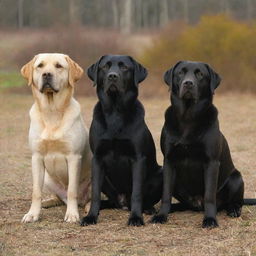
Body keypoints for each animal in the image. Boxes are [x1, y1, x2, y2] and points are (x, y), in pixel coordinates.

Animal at [81, 54, 162, 226]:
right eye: (105, 66)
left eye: (124, 67)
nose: (112, 76)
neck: (115, 112)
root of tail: (123, 203)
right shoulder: (97, 158)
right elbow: (95, 193)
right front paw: (91, 216)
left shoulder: (138, 158)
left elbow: (137, 192)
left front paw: (136, 218)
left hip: (160, 173)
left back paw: (148, 209)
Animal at [151, 61, 255, 228]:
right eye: (180, 73)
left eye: (200, 74)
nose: (188, 83)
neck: (188, 117)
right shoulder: (169, 160)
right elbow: (166, 194)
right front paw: (161, 215)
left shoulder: (211, 162)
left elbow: (209, 196)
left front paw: (210, 219)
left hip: (236, 178)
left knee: (233, 202)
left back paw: (233, 210)